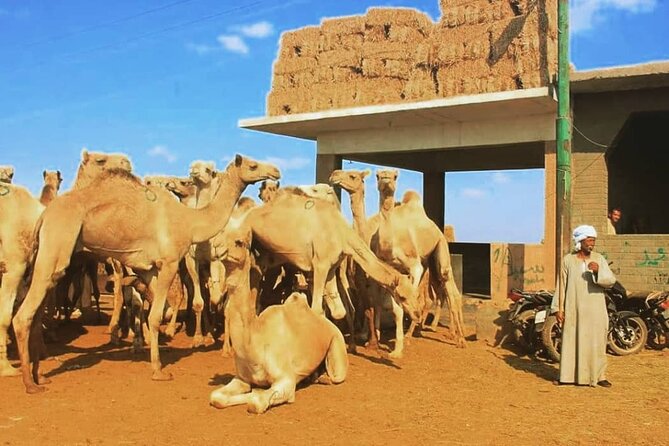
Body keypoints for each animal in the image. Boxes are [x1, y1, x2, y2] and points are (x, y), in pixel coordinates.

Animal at [13, 154, 280, 393]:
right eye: (252, 165)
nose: (276, 171)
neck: (190, 221)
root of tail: (44, 215)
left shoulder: (149, 270)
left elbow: (152, 310)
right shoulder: (168, 263)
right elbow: (155, 315)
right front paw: (159, 370)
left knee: (36, 312)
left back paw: (40, 376)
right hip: (56, 246)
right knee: (23, 315)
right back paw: (29, 384)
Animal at [209, 224, 347, 413]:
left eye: (239, 242)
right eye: (218, 234)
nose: (215, 246)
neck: (255, 343)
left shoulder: (286, 380)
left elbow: (257, 401)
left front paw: (258, 393)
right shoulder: (241, 378)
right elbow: (216, 397)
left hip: (337, 344)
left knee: (337, 375)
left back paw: (323, 377)